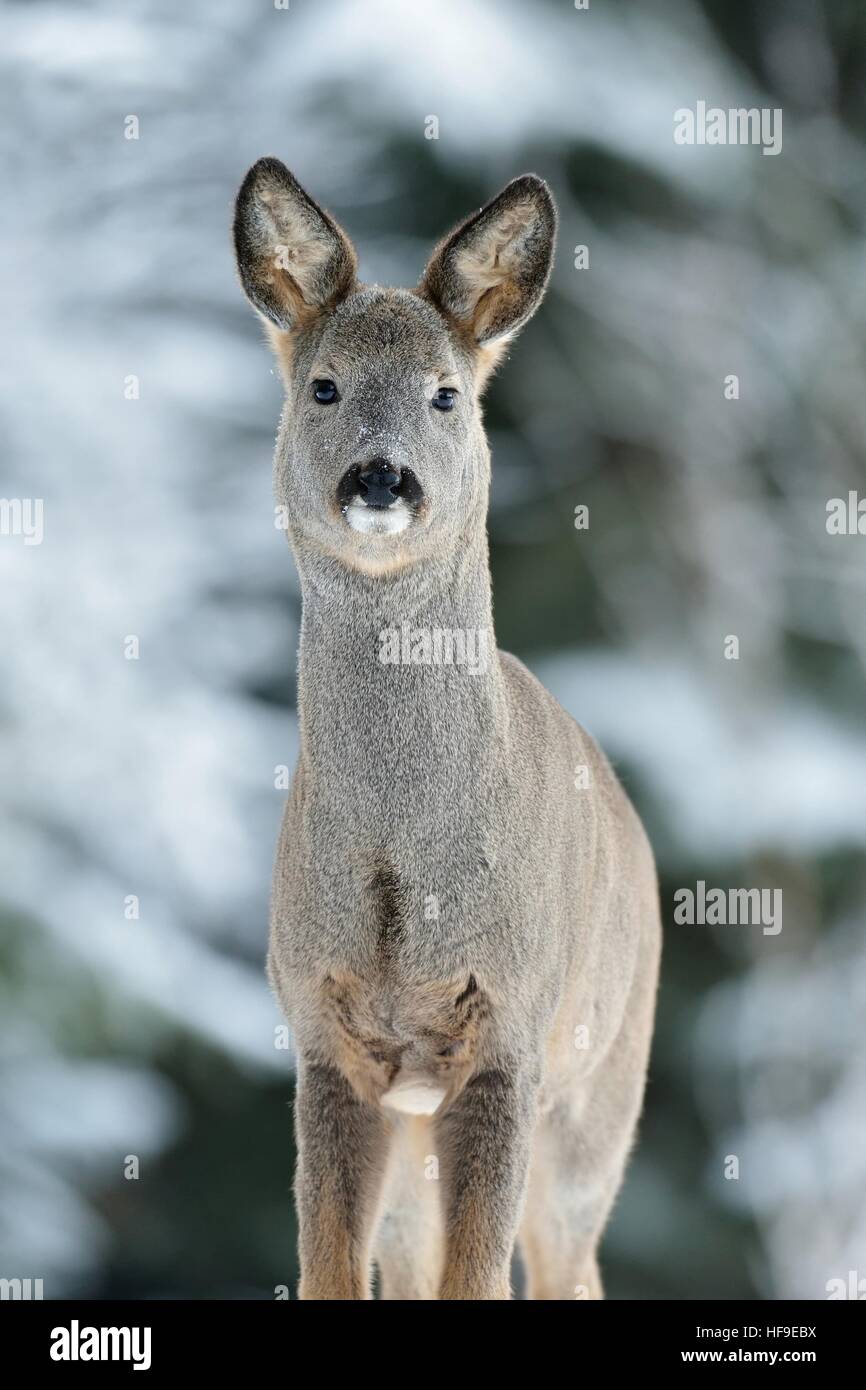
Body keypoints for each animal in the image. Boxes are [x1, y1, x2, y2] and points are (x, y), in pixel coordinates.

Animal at [232, 158, 661, 1301]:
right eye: (324, 385)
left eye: (446, 393)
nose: (381, 477)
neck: (400, 872)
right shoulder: (323, 1034)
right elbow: (330, 1271)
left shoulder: (511, 1029)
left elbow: (478, 1278)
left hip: (602, 1088)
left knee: (569, 1267)